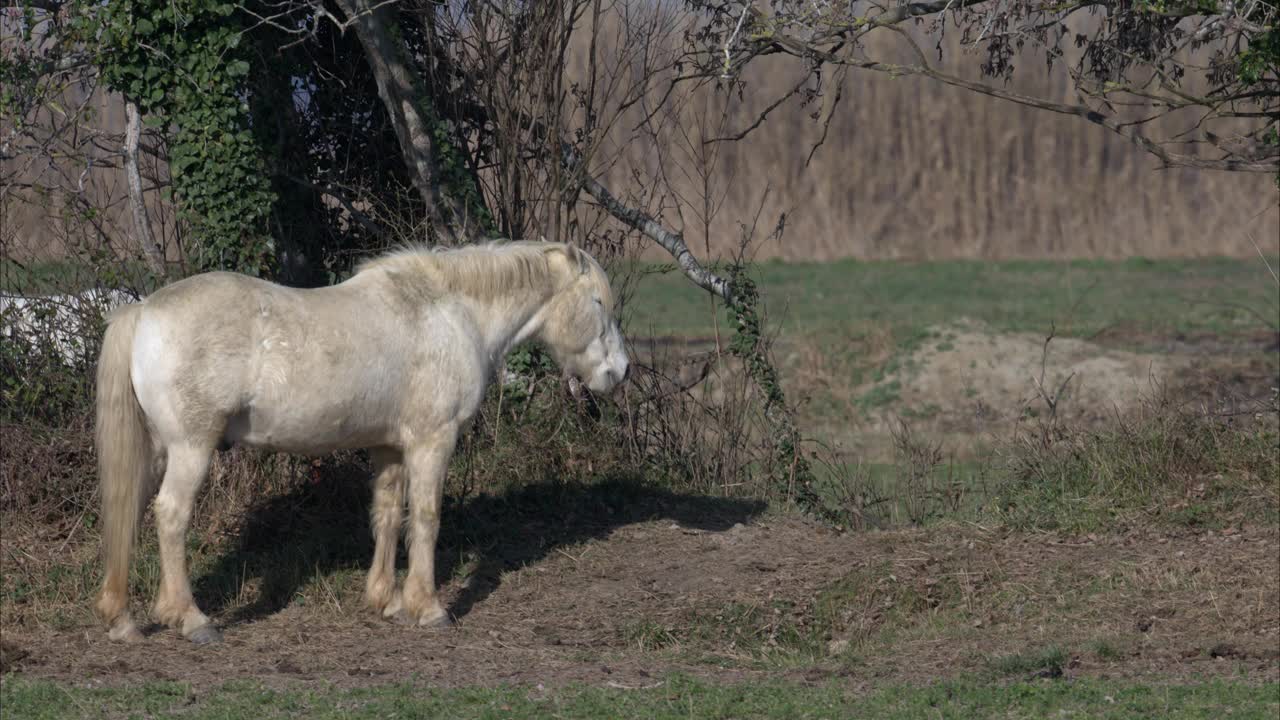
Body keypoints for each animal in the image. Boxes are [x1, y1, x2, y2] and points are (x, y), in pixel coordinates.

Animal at [92, 238, 627, 640]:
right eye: (599, 302)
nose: (619, 372)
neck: (450, 313)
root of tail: (144, 310)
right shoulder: (433, 442)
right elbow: (427, 517)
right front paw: (427, 607)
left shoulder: (389, 448)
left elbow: (388, 515)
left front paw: (385, 600)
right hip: (191, 449)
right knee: (171, 516)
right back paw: (190, 618)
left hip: (155, 450)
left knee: (131, 509)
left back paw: (124, 617)